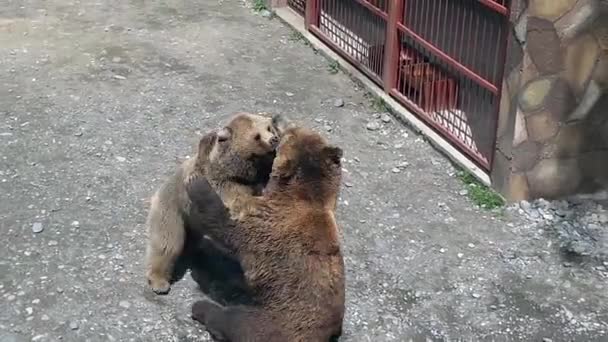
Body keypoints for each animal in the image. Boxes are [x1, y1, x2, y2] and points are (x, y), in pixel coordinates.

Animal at [185, 125, 346, 342]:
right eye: (298, 129)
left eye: (291, 133)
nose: (283, 127)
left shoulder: (270, 226)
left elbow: (230, 228)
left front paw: (199, 185)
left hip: (275, 320)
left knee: (234, 320)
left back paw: (202, 305)